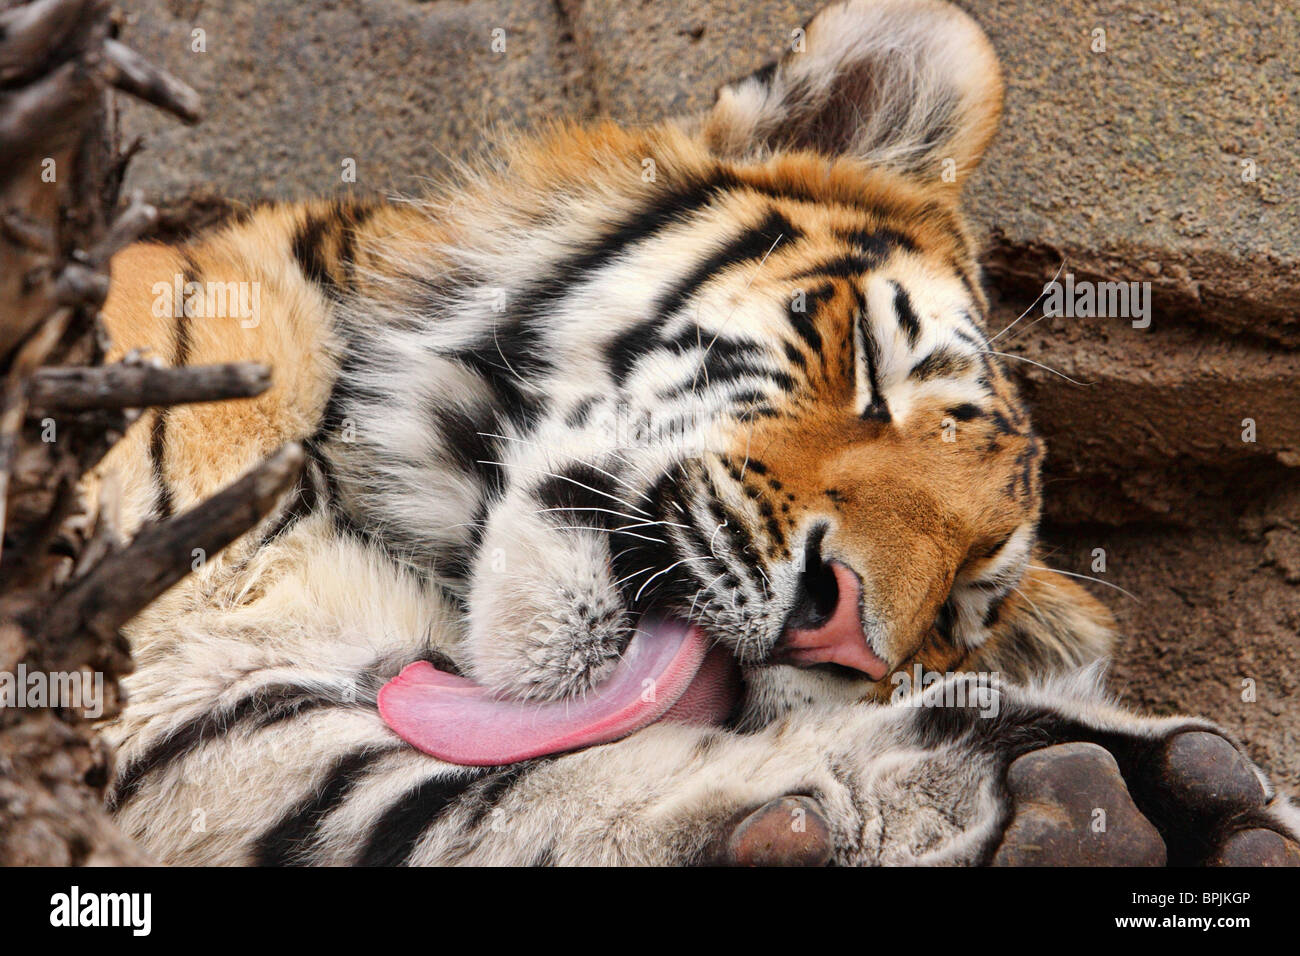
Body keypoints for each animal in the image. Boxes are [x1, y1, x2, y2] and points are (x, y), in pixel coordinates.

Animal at [94, 0, 1300, 868]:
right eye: (871, 364)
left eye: (960, 607)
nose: (841, 629)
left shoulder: (234, 722)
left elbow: (499, 796)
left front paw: (1122, 803)